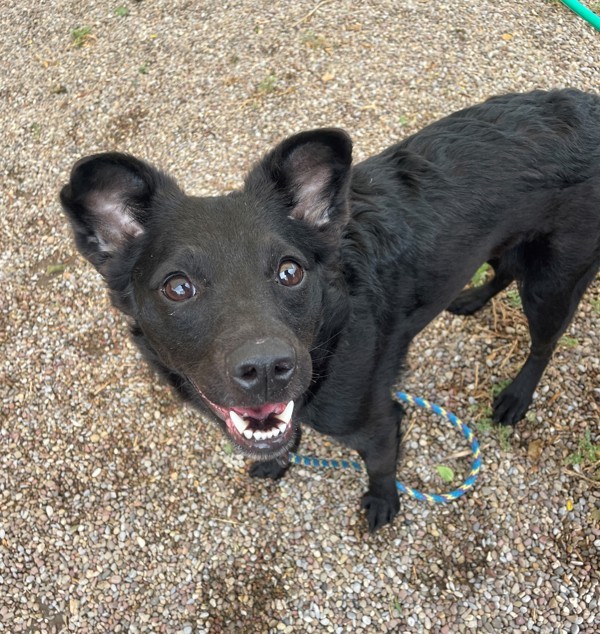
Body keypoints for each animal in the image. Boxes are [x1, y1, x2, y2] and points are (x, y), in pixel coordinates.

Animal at [61, 90, 600, 528]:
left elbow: (381, 465)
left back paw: (516, 397)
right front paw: (278, 460)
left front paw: (382, 503)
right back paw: (469, 299)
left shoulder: (381, 420)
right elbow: (281, 430)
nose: (266, 368)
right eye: (178, 287)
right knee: (504, 267)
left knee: (545, 341)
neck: (331, 336)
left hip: (553, 282)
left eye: (290, 272)